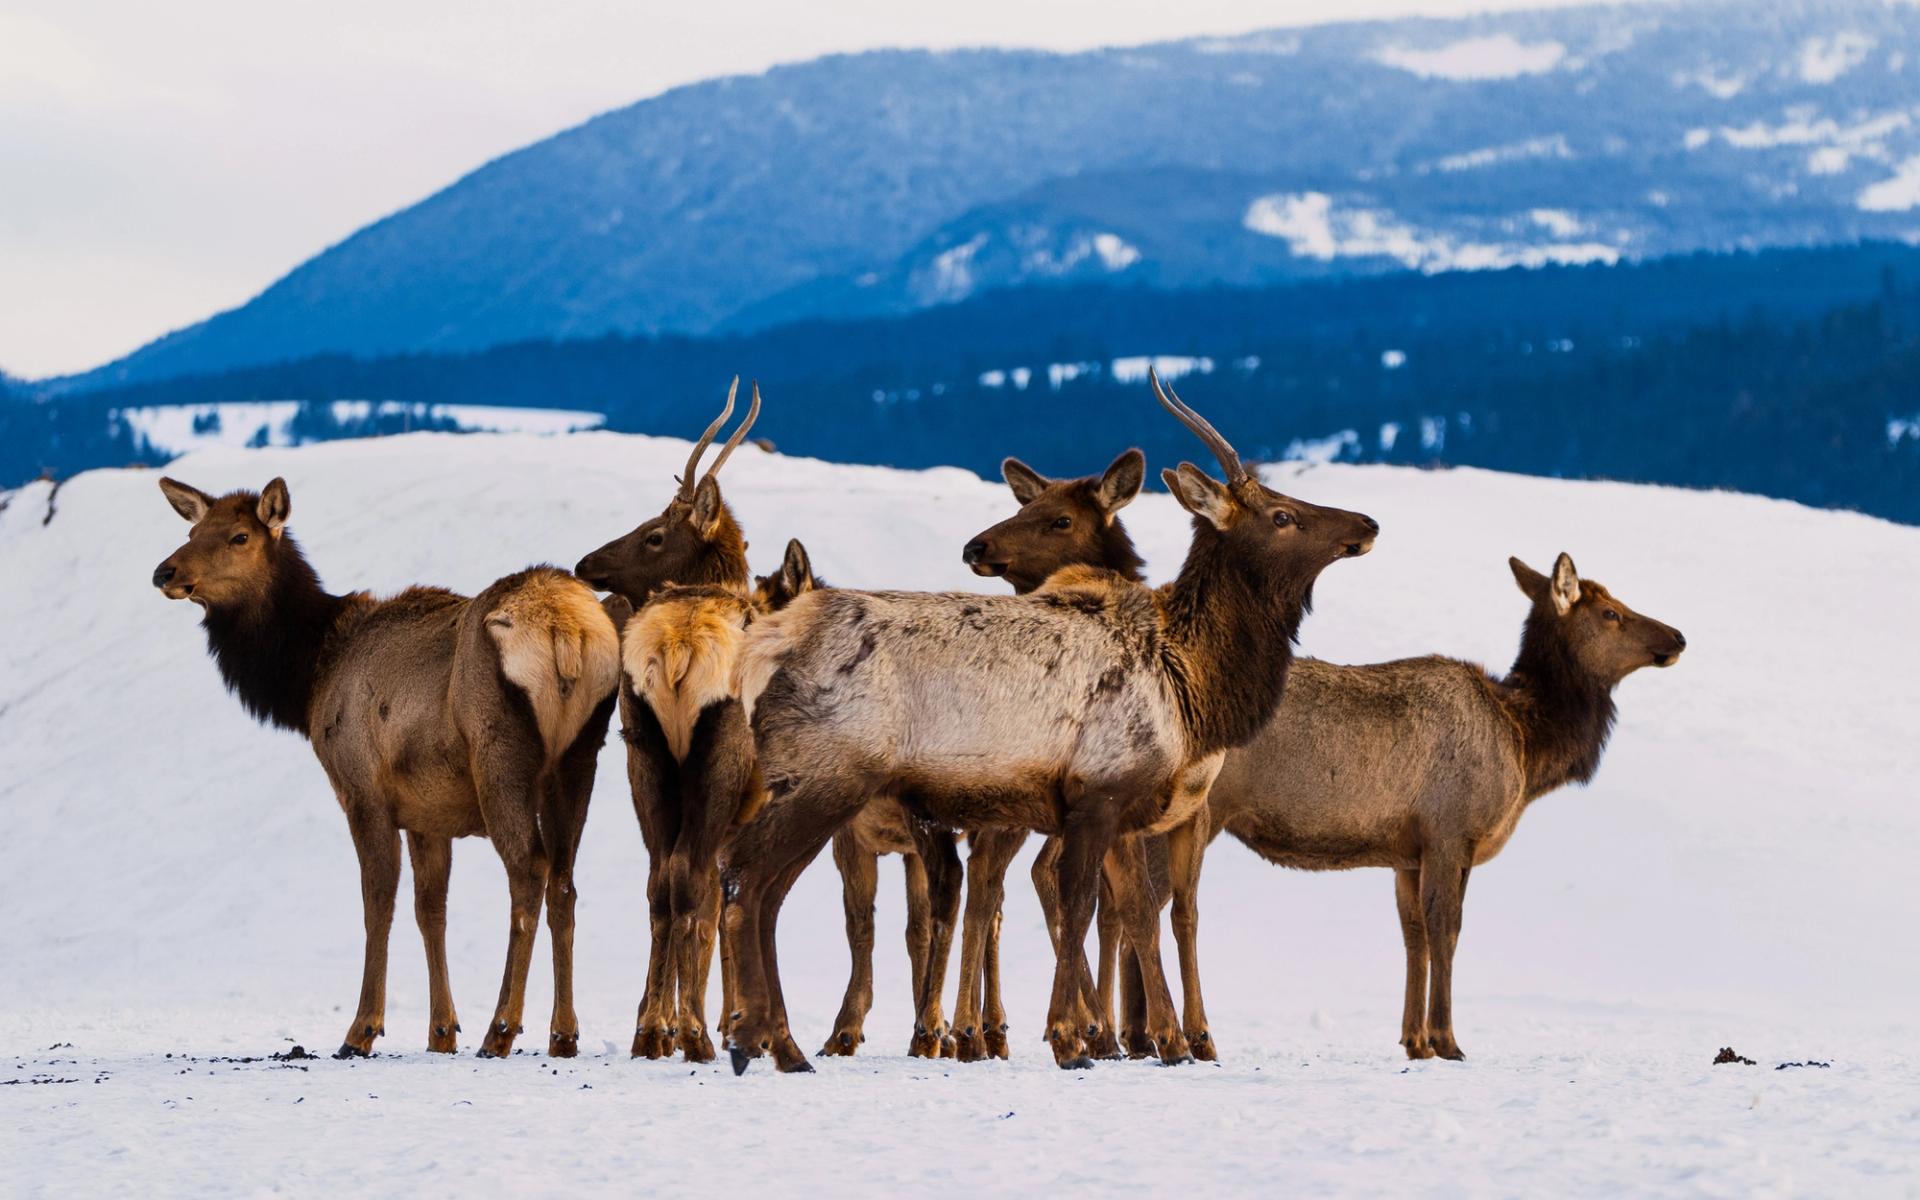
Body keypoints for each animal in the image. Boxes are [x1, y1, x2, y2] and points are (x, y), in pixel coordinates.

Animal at [150, 472, 618, 1052]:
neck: (307, 679)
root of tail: (567, 632)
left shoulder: (361, 787)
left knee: (529, 870)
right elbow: (429, 909)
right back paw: (564, 1034)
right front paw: (441, 1031)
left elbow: (378, 904)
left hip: (500, 757)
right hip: (577, 758)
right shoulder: (426, 811)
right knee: (565, 881)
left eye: (239, 536)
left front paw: (363, 1029)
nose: (165, 572)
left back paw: (501, 1029)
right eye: (193, 530)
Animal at [721, 370, 1382, 1075]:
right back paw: (762, 1041)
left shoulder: (1128, 808)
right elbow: (1080, 902)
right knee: (747, 881)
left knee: (763, 891)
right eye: (1283, 515)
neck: (1191, 678)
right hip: (826, 777)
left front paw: (1166, 1041)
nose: (1367, 522)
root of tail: (762, 646)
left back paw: (781, 1042)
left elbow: (1135, 911)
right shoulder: (1099, 791)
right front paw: (1076, 1038)